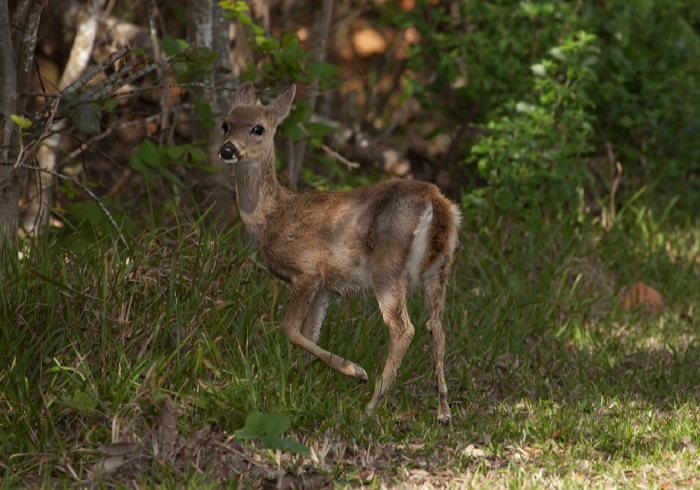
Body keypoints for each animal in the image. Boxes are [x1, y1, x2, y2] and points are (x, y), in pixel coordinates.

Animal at [219, 82, 460, 424]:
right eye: (226, 124)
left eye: (258, 128)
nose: (227, 149)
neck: (272, 217)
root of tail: (437, 204)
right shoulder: (325, 286)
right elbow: (310, 333)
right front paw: (299, 382)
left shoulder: (307, 271)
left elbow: (289, 328)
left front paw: (352, 370)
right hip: (440, 267)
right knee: (436, 328)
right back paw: (443, 412)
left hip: (387, 265)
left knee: (403, 329)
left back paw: (370, 406)